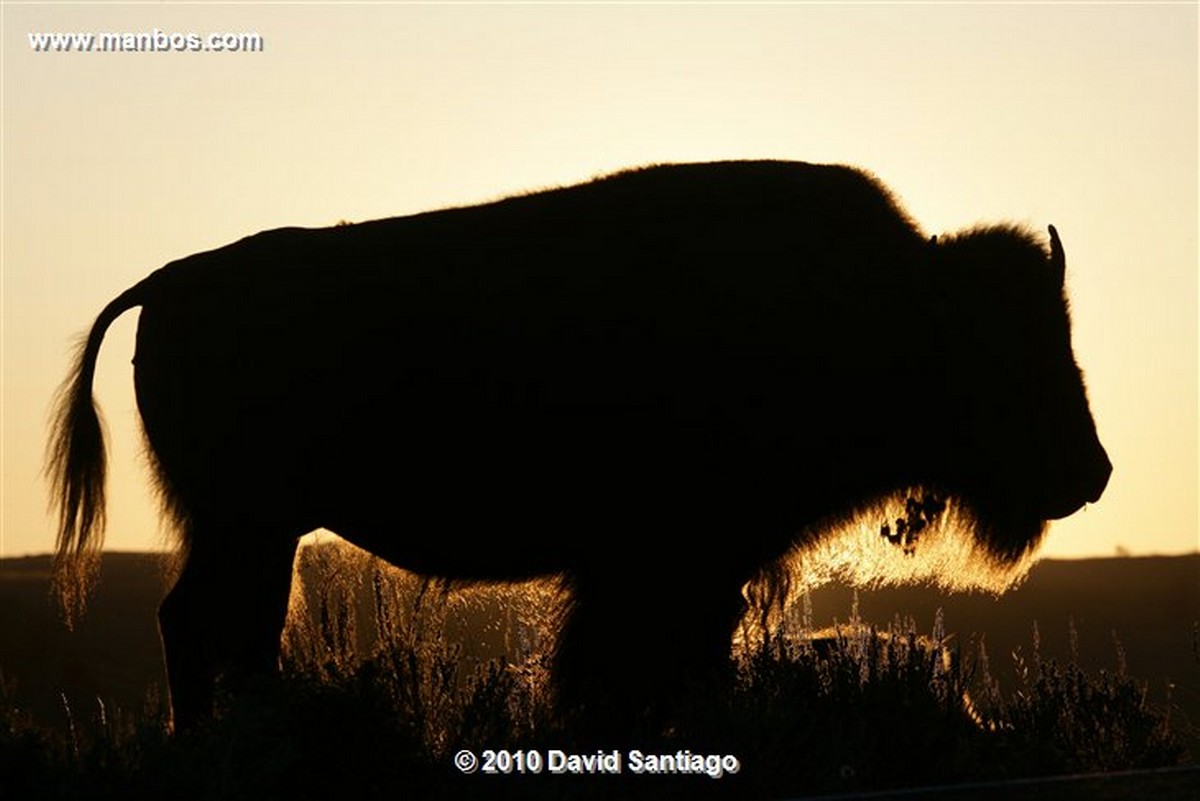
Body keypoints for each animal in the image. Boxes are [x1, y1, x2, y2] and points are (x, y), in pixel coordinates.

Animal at [49, 160, 1113, 733]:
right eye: (1011, 347)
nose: (1094, 470)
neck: (898, 308)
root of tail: (169, 281)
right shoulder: (674, 563)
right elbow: (645, 662)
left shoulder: (688, 570)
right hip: (246, 526)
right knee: (204, 627)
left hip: (254, 534)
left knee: (230, 630)